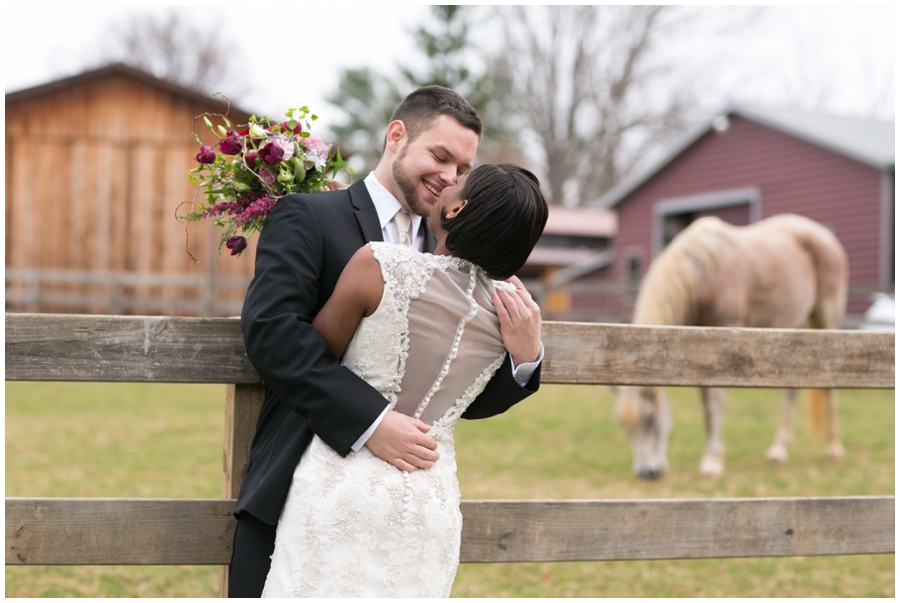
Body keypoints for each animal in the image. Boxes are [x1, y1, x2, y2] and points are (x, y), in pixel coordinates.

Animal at [616, 215, 848, 478]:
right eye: (623, 425)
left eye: (652, 420)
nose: (647, 473)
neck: (706, 274)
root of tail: (822, 234)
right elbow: (705, 403)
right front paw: (709, 454)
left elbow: (716, 401)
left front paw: (713, 461)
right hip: (794, 326)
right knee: (792, 390)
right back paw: (778, 450)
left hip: (827, 317)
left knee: (829, 386)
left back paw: (833, 448)